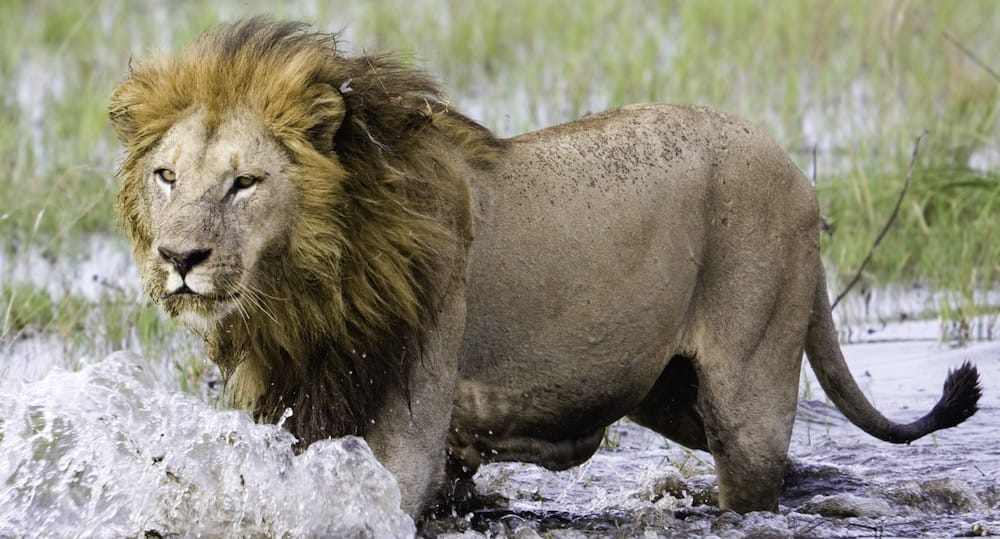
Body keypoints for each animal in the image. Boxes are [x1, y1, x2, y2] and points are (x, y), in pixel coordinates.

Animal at [109, 19, 982, 518]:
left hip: (749, 386)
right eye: (167, 177)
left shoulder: (408, 419)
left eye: (244, 182)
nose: (179, 258)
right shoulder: (304, 403)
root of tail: (795, 172)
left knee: (760, 472)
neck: (307, 289)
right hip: (672, 392)